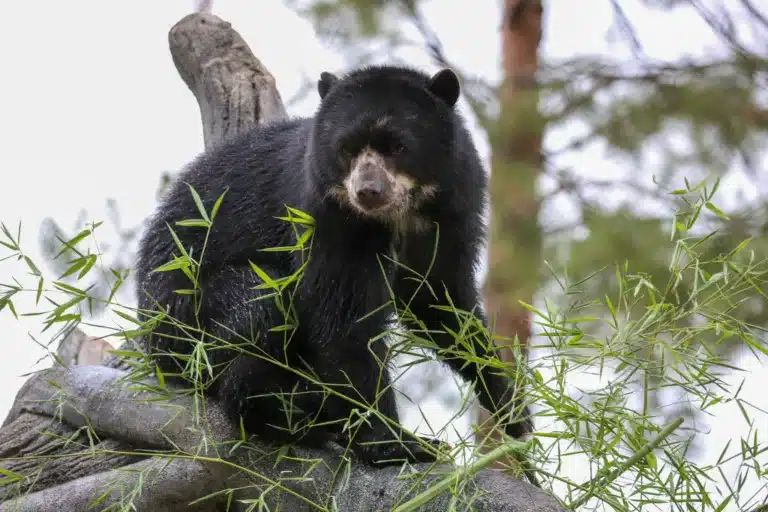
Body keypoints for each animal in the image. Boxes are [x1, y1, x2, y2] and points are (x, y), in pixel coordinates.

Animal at [134, 64, 534, 473]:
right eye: (347, 148)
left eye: (398, 146)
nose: (368, 191)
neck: (399, 215)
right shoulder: (327, 219)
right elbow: (342, 321)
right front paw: (400, 444)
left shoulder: (450, 213)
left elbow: (443, 302)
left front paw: (513, 410)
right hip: (188, 317)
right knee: (261, 305)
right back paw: (291, 414)